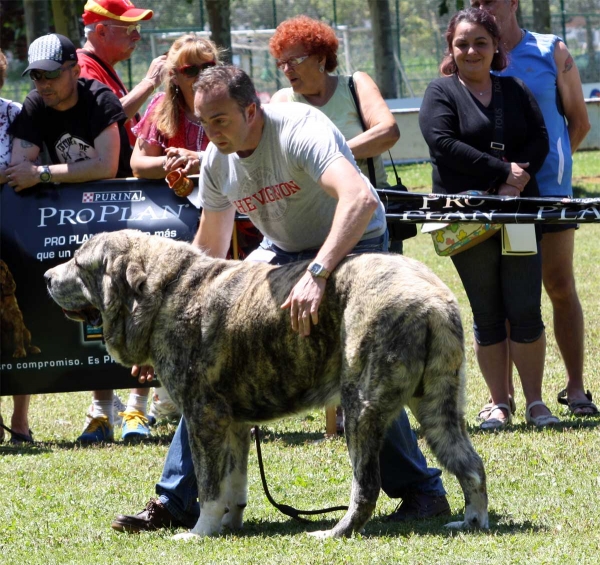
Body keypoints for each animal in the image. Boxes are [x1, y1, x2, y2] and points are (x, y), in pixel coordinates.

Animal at [45, 228, 488, 536]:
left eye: (78, 263)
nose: (47, 276)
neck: (164, 291)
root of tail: (432, 299)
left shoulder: (203, 417)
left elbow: (209, 486)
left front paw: (199, 532)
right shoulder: (235, 425)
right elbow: (234, 485)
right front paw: (227, 527)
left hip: (360, 406)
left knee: (367, 487)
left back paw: (335, 532)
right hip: (438, 406)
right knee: (471, 465)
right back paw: (473, 520)